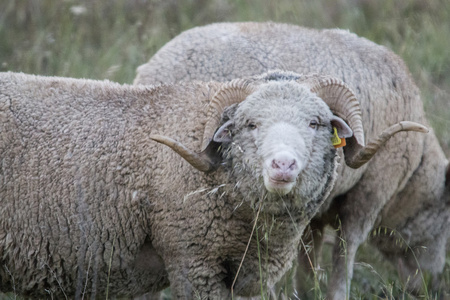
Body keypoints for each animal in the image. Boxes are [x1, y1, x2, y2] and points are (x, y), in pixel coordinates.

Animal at [134, 21, 450, 298]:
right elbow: (344, 255)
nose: (429, 285)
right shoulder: (368, 194)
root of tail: (149, 73)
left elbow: (309, 259)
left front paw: (307, 292)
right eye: (445, 216)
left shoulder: (314, 209)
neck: (415, 172)